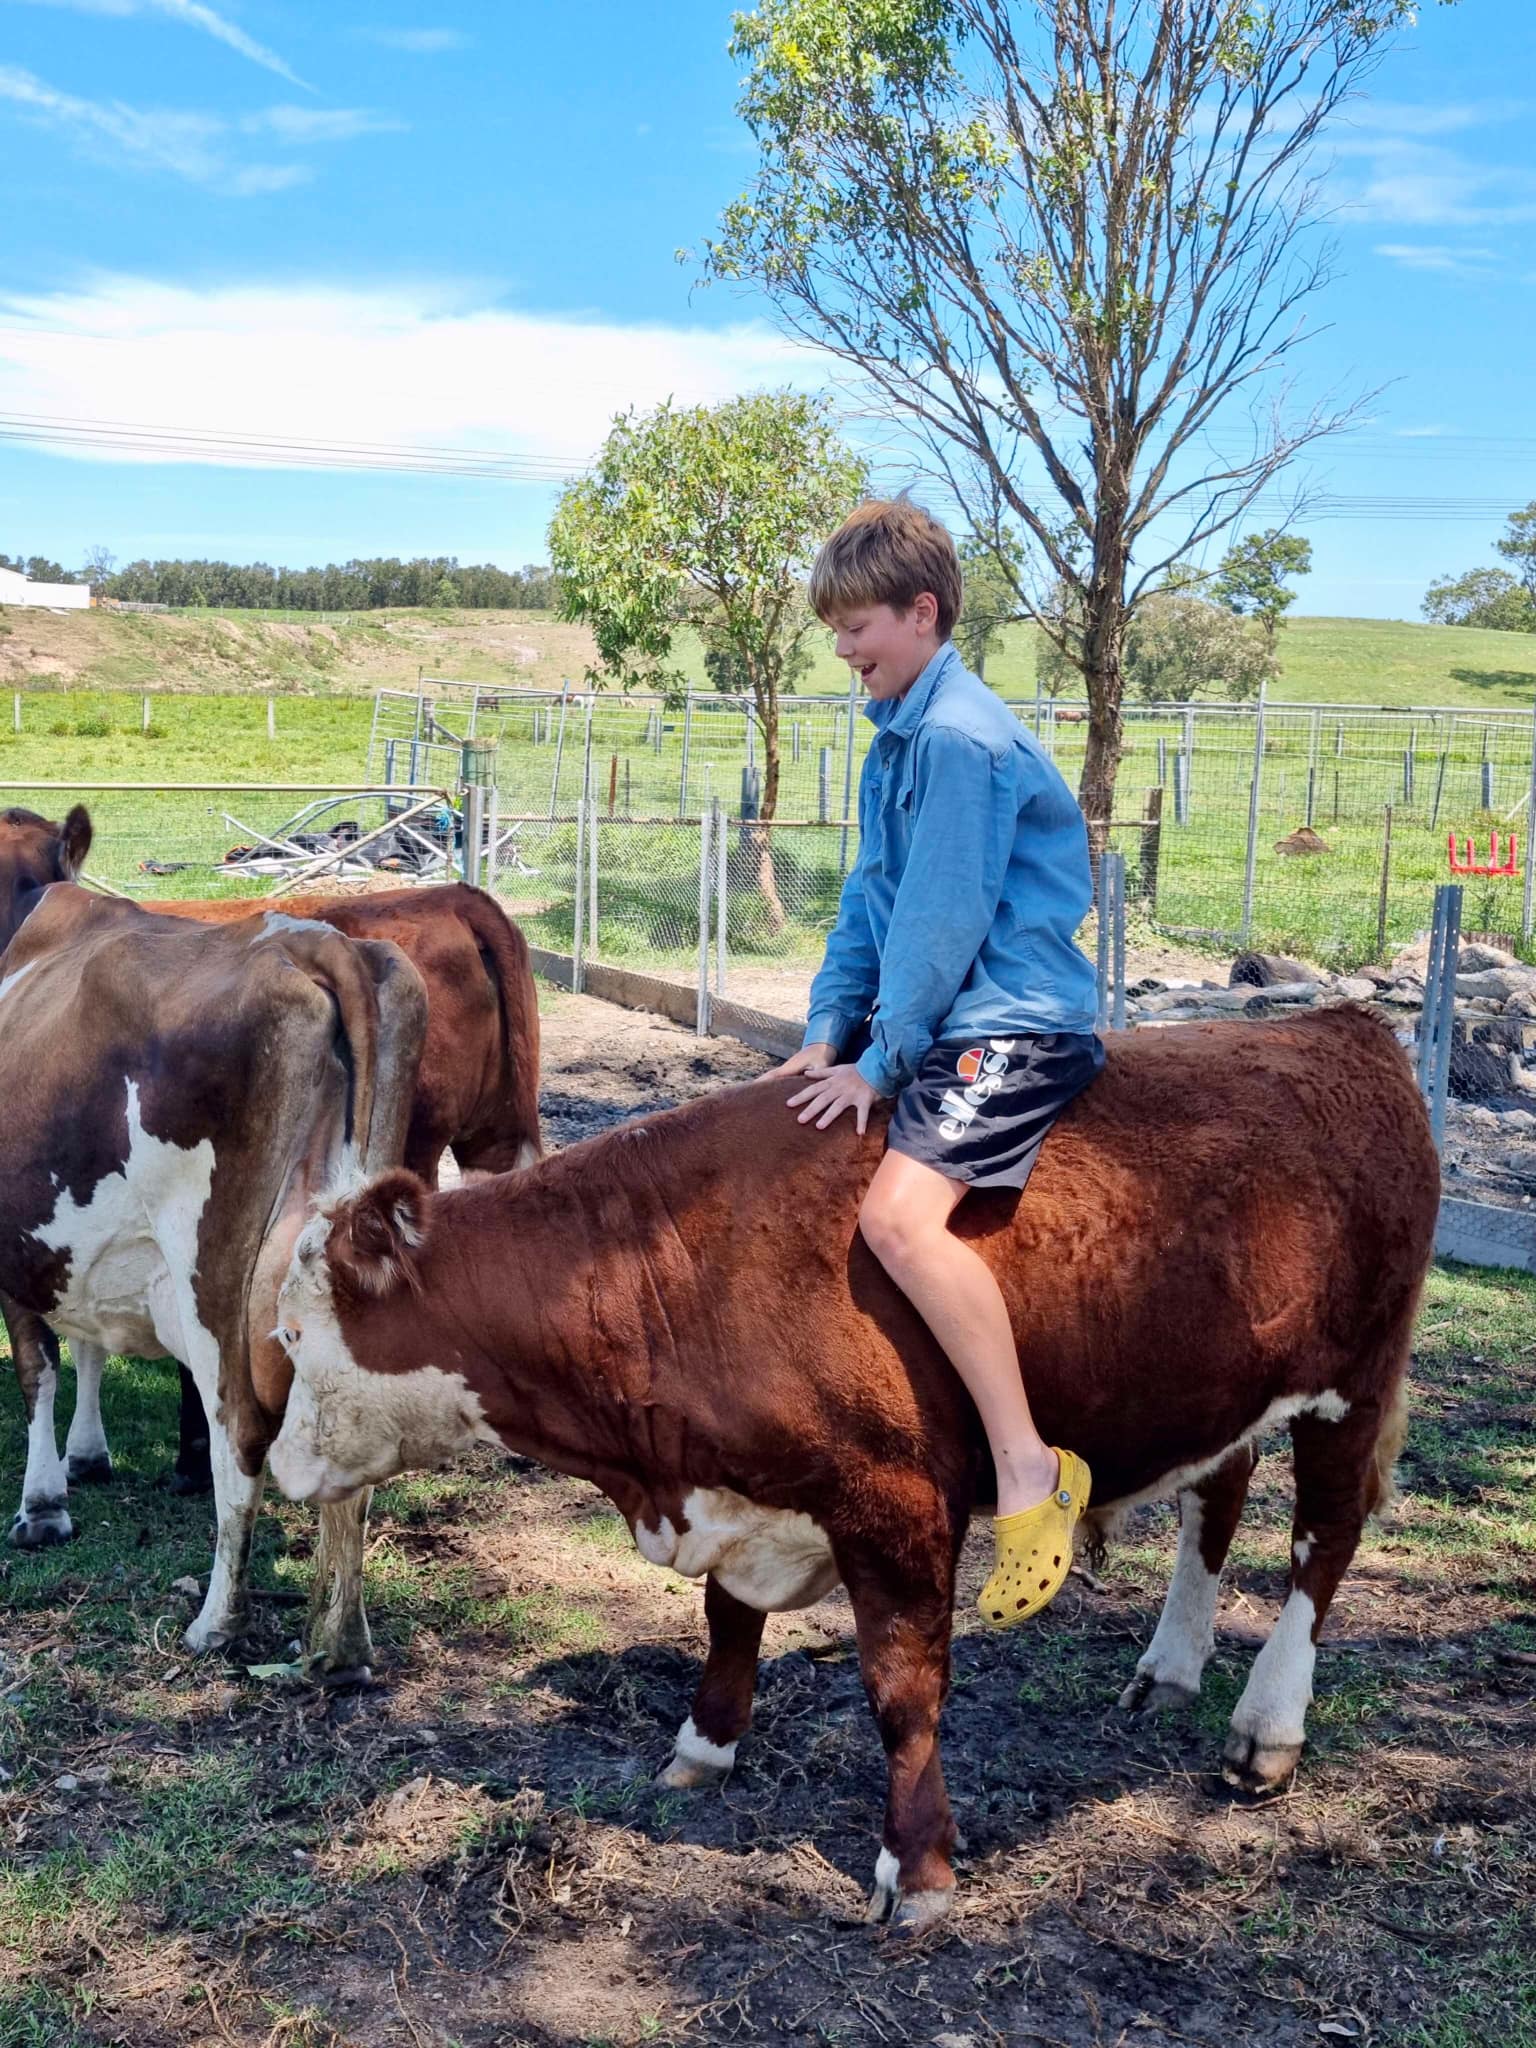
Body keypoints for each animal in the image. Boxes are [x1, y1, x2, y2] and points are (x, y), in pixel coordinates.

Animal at [0, 884, 427, 1669]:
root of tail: (319, 942)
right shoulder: (79, 1252)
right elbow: (86, 1346)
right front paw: (87, 1455)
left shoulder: (19, 1250)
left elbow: (38, 1368)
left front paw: (42, 1506)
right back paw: (342, 1648)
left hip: (209, 1275)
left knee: (238, 1429)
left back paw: (216, 1623)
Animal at [264, 1005, 1440, 1928]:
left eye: (292, 1334)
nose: (274, 1466)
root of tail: (1338, 1024)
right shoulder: (745, 1492)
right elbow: (727, 1621)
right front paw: (704, 1744)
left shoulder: (898, 1500)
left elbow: (902, 1685)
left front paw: (915, 1867)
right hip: (1218, 1391)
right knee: (1217, 1499)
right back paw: (1168, 1668)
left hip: (1354, 1382)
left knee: (1323, 1541)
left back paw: (1266, 1730)